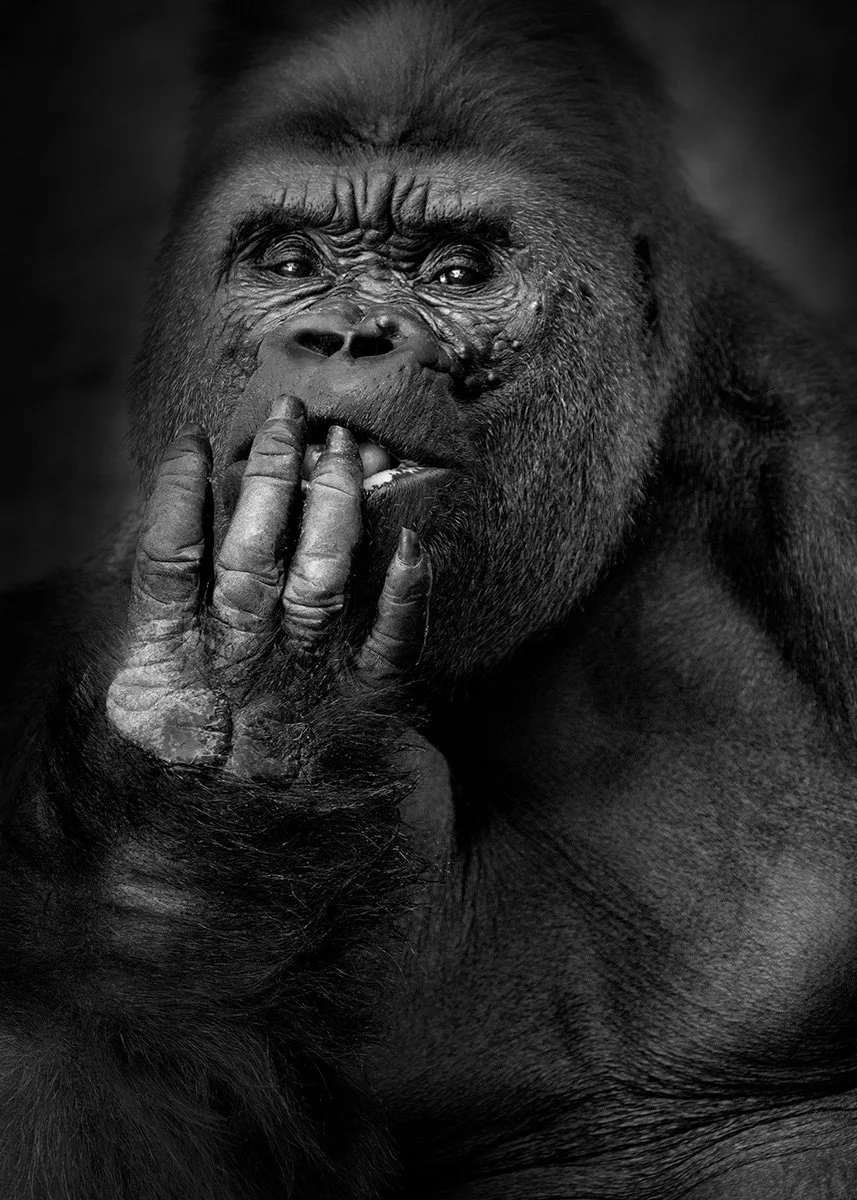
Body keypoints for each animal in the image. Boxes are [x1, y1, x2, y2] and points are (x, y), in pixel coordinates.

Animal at [3, 0, 857, 1196]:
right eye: (288, 260)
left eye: (457, 273)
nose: (347, 337)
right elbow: (99, 1014)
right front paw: (227, 731)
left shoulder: (827, 482)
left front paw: (255, 710)